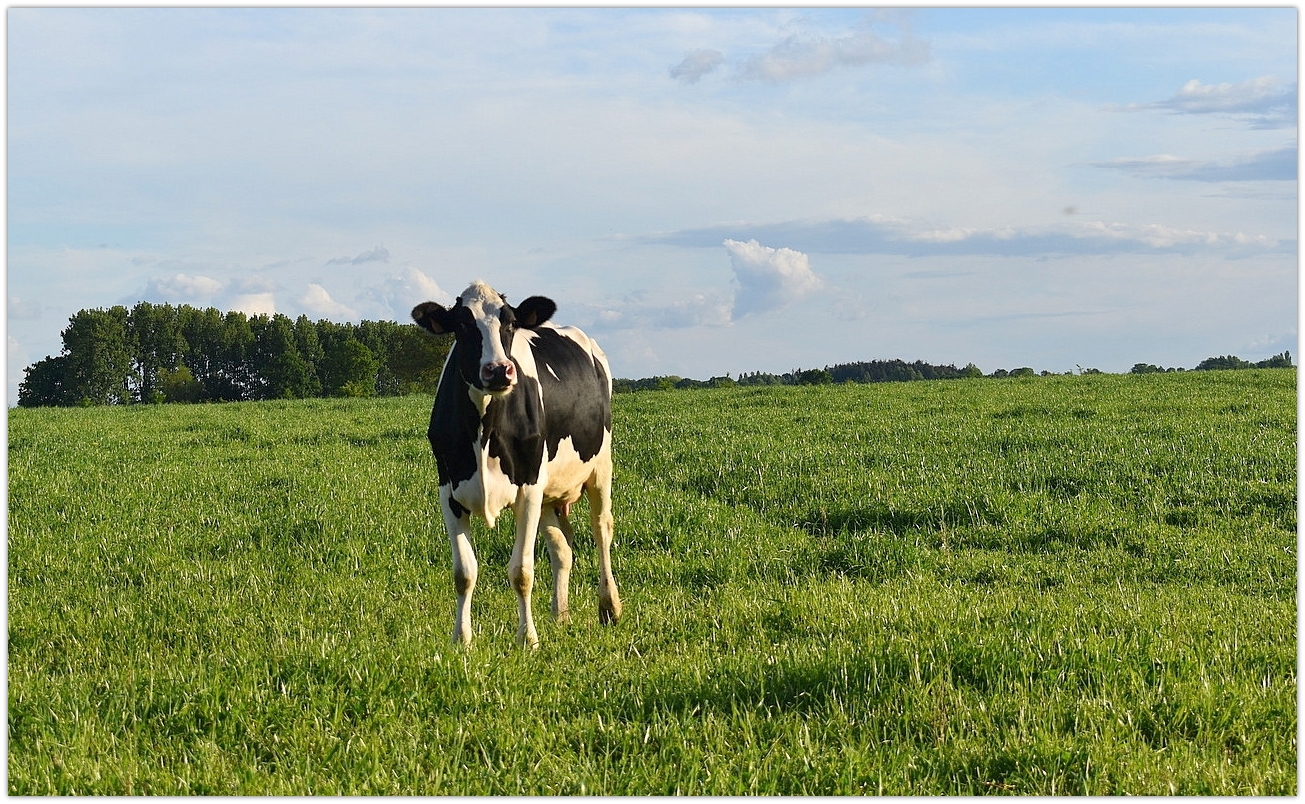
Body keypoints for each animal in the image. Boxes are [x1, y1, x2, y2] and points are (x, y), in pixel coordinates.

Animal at [414, 283, 623, 647]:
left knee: (601, 529)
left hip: (600, 466)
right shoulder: (449, 492)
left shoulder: (528, 488)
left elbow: (522, 571)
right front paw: (461, 639)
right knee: (562, 546)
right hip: (551, 491)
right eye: (462, 325)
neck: (483, 428)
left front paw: (528, 639)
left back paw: (609, 606)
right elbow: (463, 572)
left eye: (510, 323)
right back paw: (560, 614)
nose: (498, 369)